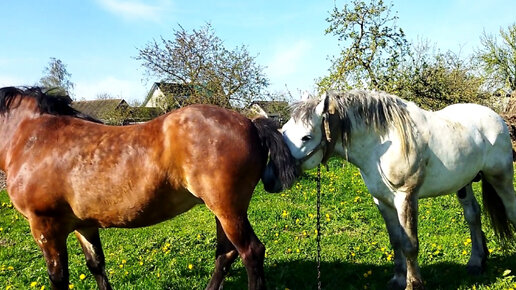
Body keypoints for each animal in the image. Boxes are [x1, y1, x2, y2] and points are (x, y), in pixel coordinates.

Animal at [0, 86, 296, 290]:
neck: (32, 138)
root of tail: (251, 124)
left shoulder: (45, 227)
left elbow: (58, 278)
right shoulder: (83, 225)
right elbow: (96, 265)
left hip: (228, 210)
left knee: (251, 252)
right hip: (224, 212)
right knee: (226, 254)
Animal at [282, 89, 516, 288]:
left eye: (306, 137)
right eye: (283, 131)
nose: (281, 172)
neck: (382, 144)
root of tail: (496, 117)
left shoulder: (406, 197)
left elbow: (409, 244)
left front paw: (413, 284)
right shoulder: (382, 201)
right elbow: (395, 240)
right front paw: (398, 279)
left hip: (501, 178)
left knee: (510, 211)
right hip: (464, 183)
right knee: (473, 215)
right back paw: (476, 262)